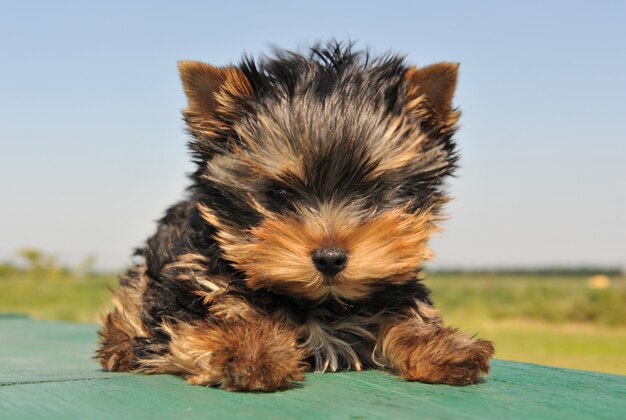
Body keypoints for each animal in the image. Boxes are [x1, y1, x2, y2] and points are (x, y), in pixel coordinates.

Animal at [97, 41, 492, 390]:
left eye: (375, 194)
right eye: (278, 195)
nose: (330, 258)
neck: (317, 301)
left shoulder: (394, 281)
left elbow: (406, 311)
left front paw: (440, 345)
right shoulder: (188, 282)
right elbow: (203, 317)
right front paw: (248, 346)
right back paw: (120, 344)